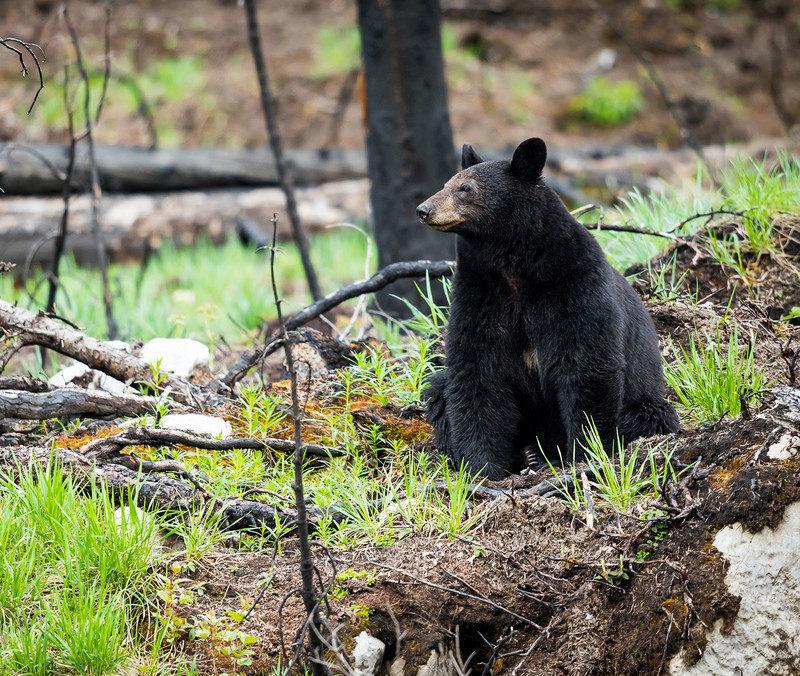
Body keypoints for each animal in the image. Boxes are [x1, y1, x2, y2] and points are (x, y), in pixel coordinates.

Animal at [416, 137, 680, 480]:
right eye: (447, 183)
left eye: (466, 188)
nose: (423, 210)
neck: (514, 267)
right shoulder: (479, 294)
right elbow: (476, 372)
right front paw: (481, 466)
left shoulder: (574, 284)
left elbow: (587, 363)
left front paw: (584, 452)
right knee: (438, 388)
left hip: (645, 400)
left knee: (648, 416)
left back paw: (543, 455)